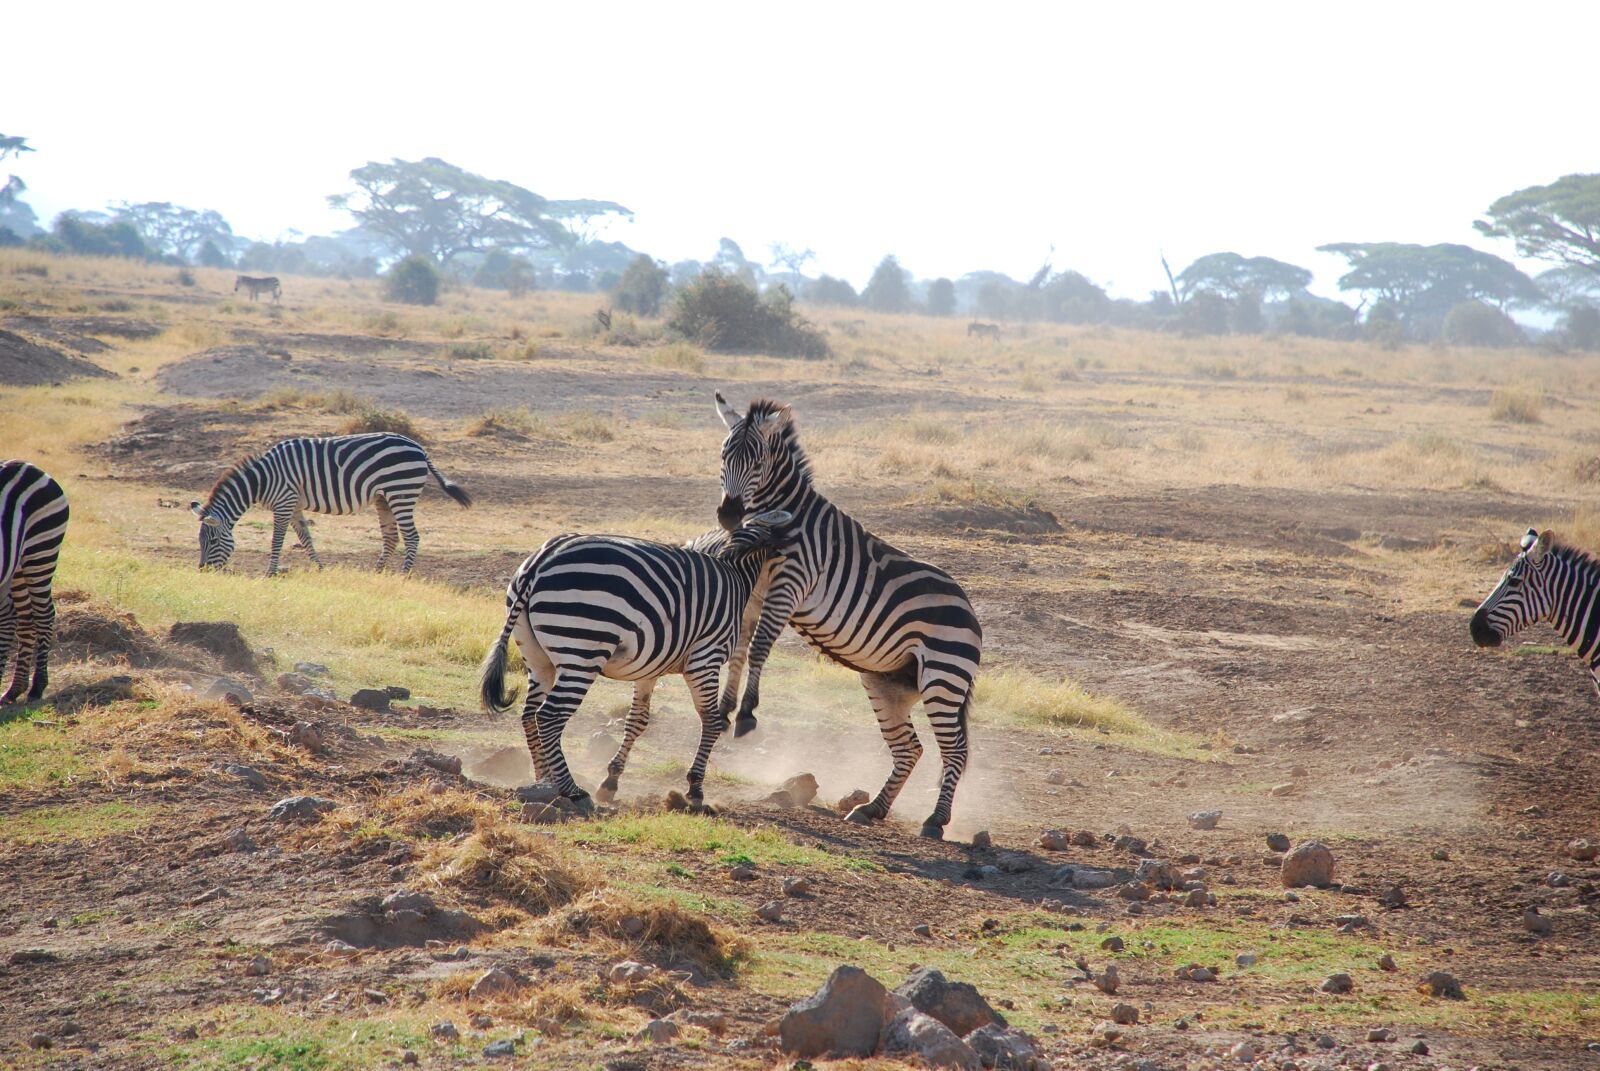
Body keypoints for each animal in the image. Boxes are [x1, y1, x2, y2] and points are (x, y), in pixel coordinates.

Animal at [0, 462, 68, 705]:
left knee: (43, 614)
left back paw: (37, 687)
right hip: (16, 569)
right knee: (20, 618)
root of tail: (27, 465)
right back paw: (15, 688)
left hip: (41, 550)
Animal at [191, 433, 471, 575]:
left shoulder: (284, 501)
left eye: (212, 541)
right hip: (383, 497)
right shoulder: (294, 504)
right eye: (200, 541)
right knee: (391, 537)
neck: (262, 480)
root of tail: (420, 448)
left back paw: (404, 575)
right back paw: (376, 573)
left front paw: (270, 573)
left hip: (400, 491)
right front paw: (320, 568)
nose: (202, 570)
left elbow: (277, 539)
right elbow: (305, 538)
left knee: (412, 536)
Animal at [477, 510, 795, 810]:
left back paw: (545, 781)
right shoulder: (706, 659)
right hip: (583, 649)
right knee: (549, 716)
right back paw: (572, 790)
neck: (736, 571)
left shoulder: (650, 668)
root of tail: (541, 560)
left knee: (529, 715)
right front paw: (695, 789)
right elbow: (711, 720)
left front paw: (611, 782)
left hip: (537, 657)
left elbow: (637, 721)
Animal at [712, 393, 983, 839]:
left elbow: (760, 647)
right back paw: (872, 809)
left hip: (944, 678)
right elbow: (738, 649)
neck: (787, 518)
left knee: (955, 750)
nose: (729, 516)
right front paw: (724, 709)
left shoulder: (791, 583)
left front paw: (747, 713)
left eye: (758, 462)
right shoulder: (756, 589)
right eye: (724, 455)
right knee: (910, 748)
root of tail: (970, 609)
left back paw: (935, 821)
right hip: (887, 683)